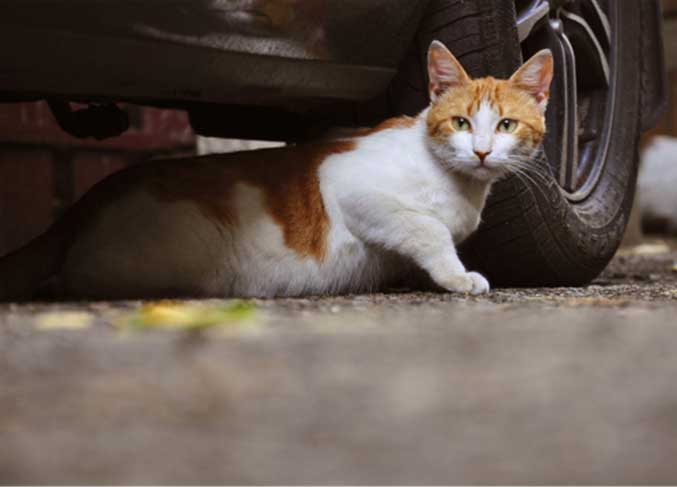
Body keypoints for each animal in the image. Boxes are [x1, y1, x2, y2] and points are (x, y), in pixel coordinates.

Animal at [0, 42, 548, 302]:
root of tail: (91, 197)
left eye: (505, 125)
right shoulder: (348, 181)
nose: (481, 152)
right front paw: (457, 277)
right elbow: (428, 228)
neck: (458, 185)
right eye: (460, 123)